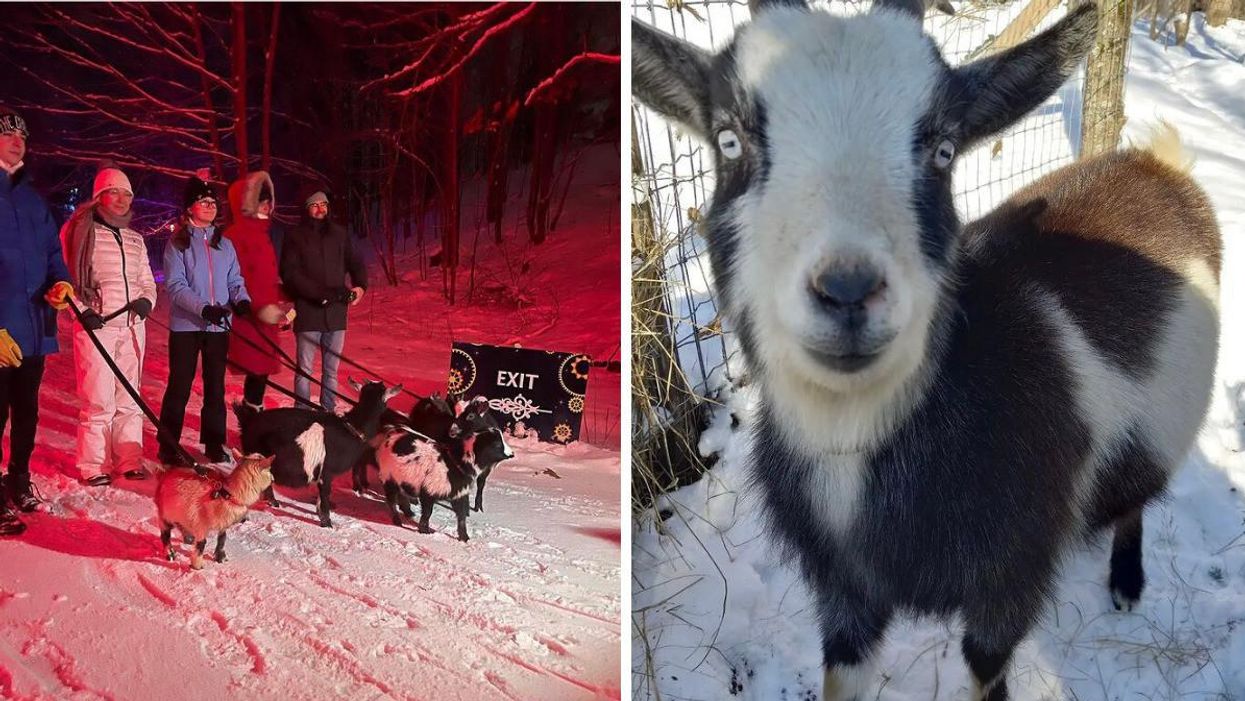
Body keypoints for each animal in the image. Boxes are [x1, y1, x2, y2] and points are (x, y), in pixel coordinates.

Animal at [234, 379, 402, 528]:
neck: (351, 428)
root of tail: (248, 420)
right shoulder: (326, 473)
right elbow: (325, 498)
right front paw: (327, 523)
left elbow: (321, 500)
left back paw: (273, 503)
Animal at [633, 2, 1220, 699]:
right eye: (728, 140)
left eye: (944, 150)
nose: (848, 290)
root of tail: (1163, 165)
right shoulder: (844, 593)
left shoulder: (1009, 581)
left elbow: (985, 667)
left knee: (1137, 498)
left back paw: (1127, 581)